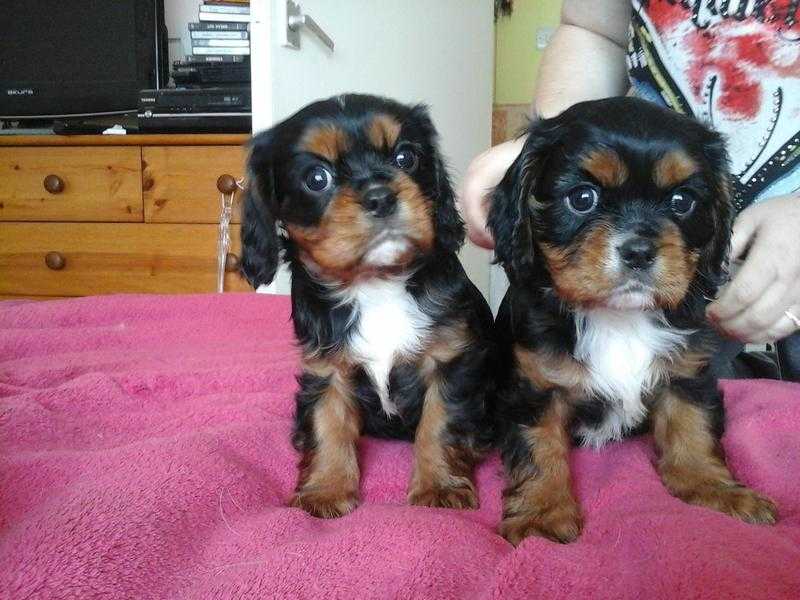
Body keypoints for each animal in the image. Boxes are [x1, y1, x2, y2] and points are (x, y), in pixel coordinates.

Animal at [241, 96, 496, 516]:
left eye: (406, 157)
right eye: (316, 178)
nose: (380, 195)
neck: (375, 283)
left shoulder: (450, 361)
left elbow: (440, 424)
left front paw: (440, 488)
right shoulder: (326, 370)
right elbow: (327, 425)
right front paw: (324, 491)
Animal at [484, 97, 780, 544]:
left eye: (682, 201)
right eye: (582, 198)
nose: (639, 250)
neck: (618, 318)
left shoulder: (686, 374)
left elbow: (693, 429)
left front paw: (715, 488)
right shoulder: (534, 387)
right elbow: (539, 449)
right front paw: (542, 515)